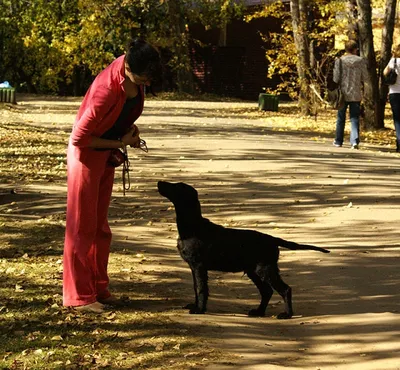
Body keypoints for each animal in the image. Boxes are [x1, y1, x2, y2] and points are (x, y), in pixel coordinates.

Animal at [158, 181, 330, 320]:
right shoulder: (194, 267)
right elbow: (196, 287)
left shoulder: (199, 265)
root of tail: (273, 239)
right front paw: (195, 306)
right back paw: (258, 312)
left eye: (177, 186)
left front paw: (199, 309)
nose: (160, 182)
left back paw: (286, 314)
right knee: (267, 291)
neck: (192, 226)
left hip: (265, 269)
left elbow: (201, 289)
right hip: (254, 271)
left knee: (285, 289)